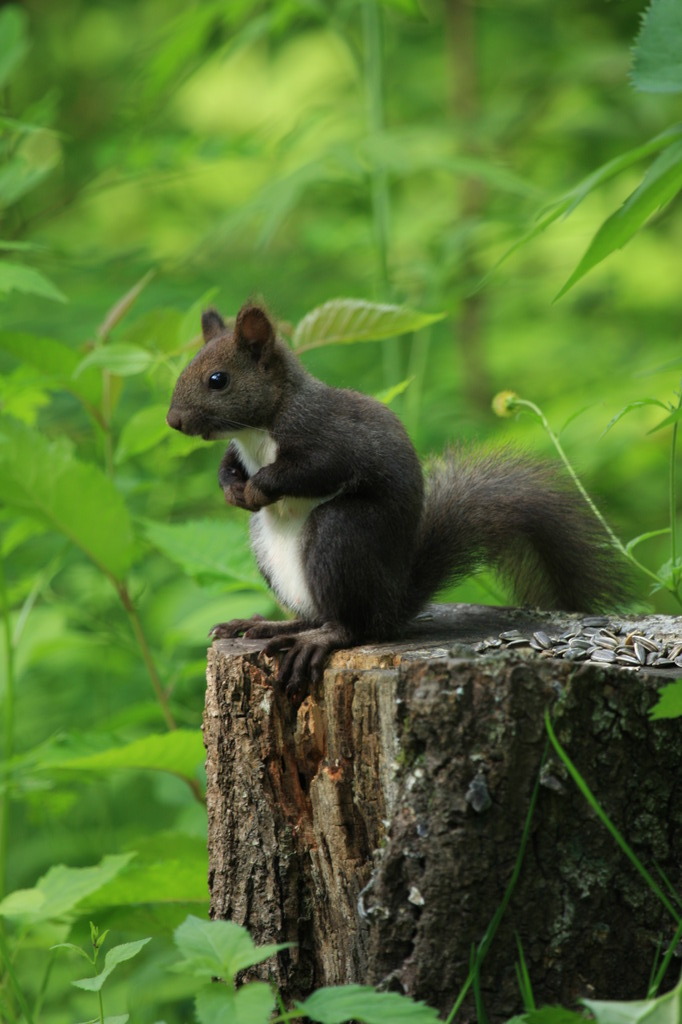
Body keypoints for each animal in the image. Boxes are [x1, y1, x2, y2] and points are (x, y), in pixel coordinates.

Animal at [166, 303, 630, 700]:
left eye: (218, 379)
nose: (173, 421)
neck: (257, 431)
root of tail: (393, 602)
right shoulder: (239, 450)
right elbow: (227, 465)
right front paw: (232, 488)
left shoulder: (326, 437)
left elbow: (313, 470)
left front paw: (259, 487)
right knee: (316, 614)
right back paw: (267, 625)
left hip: (341, 534)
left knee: (352, 627)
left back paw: (315, 640)